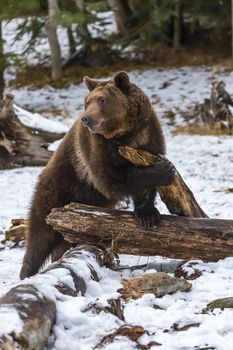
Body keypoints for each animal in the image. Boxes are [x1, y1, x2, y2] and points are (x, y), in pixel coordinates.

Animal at [19, 70, 174, 278]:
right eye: (87, 101)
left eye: (102, 100)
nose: (86, 118)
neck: (126, 135)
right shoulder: (96, 147)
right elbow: (111, 178)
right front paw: (165, 170)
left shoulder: (148, 137)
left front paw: (148, 215)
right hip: (57, 189)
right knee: (39, 236)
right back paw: (27, 273)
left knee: (62, 239)